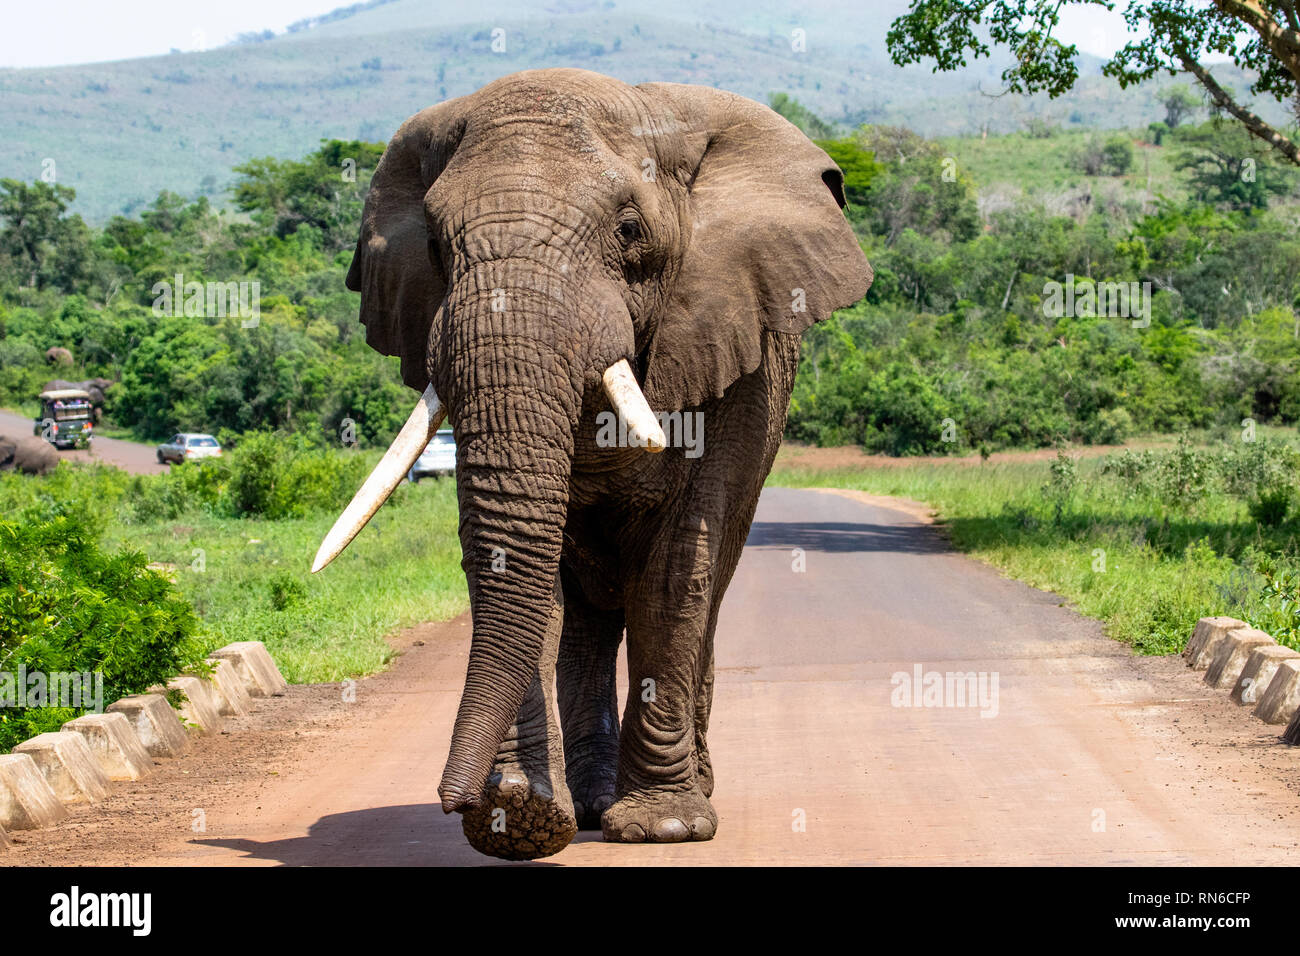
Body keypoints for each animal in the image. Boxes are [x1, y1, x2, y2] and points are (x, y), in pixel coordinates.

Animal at [309, 67, 868, 858]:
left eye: (630, 232)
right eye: (440, 248)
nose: (451, 801)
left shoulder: (735, 347)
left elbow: (677, 569)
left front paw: (666, 826)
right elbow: (515, 560)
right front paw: (519, 816)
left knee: (703, 586)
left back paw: (683, 790)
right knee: (589, 616)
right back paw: (594, 800)